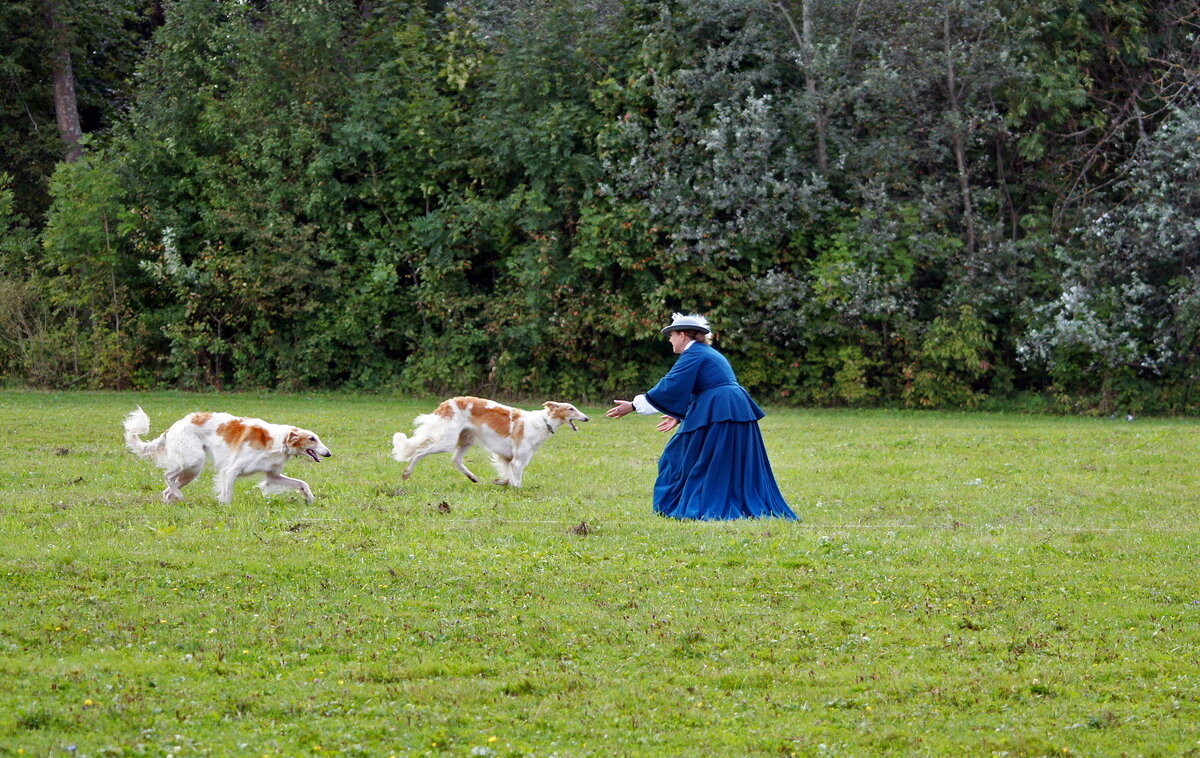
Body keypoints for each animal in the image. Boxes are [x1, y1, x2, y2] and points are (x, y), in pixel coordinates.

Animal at [123, 407, 331, 503]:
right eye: (312, 438)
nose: (328, 453)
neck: (278, 441)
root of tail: (171, 428)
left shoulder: (273, 475)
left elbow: (302, 483)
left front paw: (309, 497)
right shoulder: (231, 470)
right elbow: (227, 496)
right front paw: (225, 507)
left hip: (191, 471)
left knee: (167, 489)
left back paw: (174, 500)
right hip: (193, 462)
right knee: (167, 476)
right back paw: (179, 496)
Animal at [393, 395, 590, 484]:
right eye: (571, 408)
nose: (587, 418)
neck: (543, 422)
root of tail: (446, 403)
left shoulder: (511, 460)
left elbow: (509, 479)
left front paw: (500, 482)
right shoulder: (517, 461)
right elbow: (516, 483)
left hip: (467, 439)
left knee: (455, 460)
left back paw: (472, 477)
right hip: (447, 441)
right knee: (419, 452)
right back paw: (406, 473)